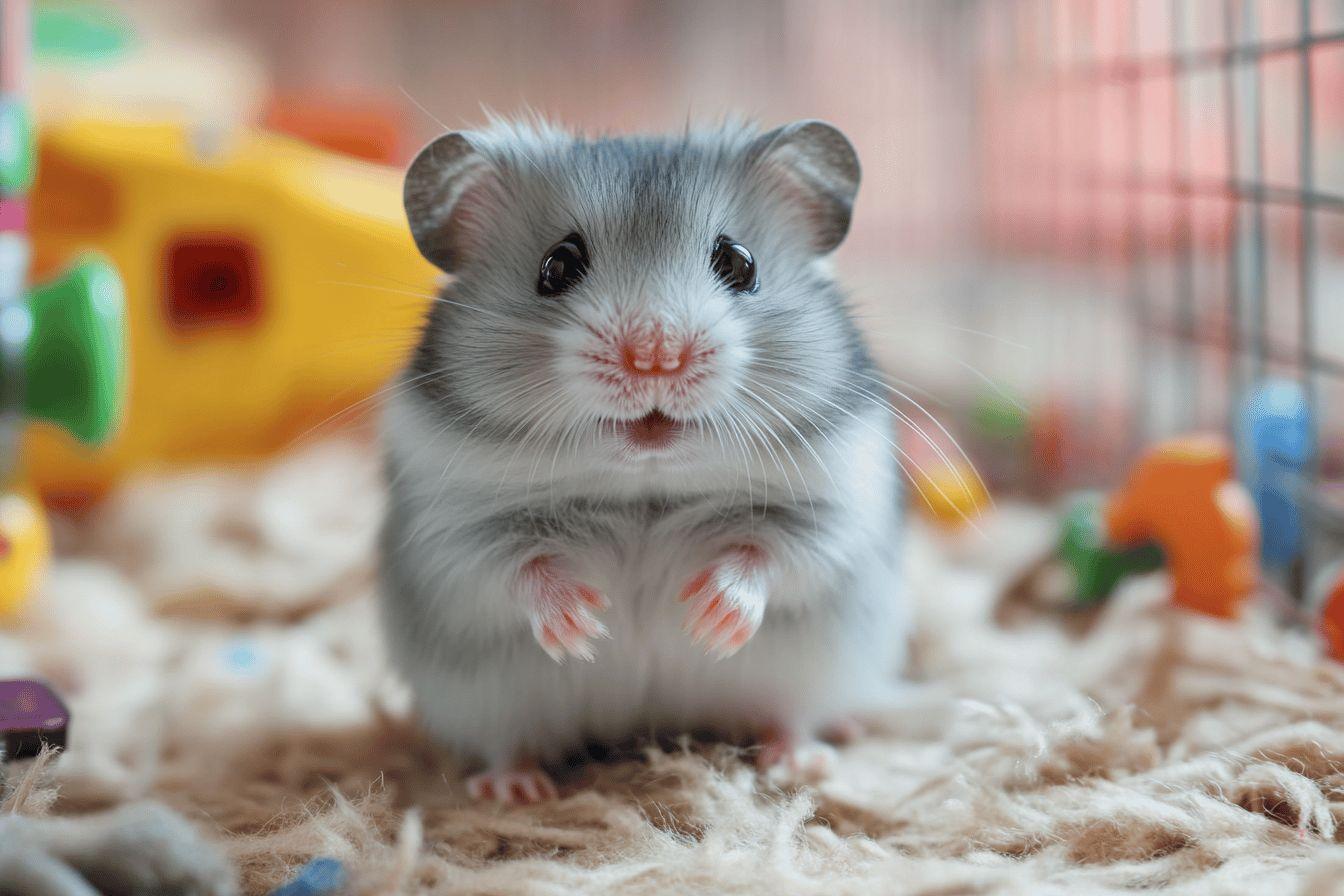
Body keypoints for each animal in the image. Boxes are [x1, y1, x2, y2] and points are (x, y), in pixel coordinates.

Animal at [379, 118, 907, 803]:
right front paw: (584, 625)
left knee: (788, 713)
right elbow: (515, 568)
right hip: (487, 703)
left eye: (739, 263)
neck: (645, 488)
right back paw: (514, 789)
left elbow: (770, 555)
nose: (655, 356)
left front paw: (707, 618)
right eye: (556, 266)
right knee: (508, 741)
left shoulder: (831, 510)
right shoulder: (450, 531)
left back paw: (801, 759)